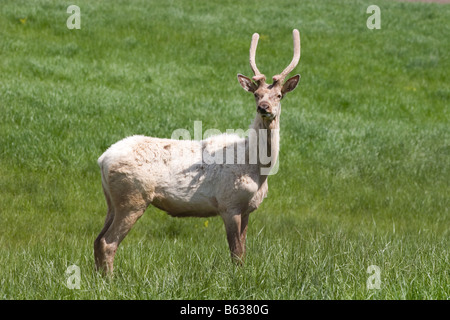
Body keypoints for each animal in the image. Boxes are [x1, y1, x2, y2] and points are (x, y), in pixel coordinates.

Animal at [93, 28, 300, 272]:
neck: (256, 167)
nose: (263, 108)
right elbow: (236, 253)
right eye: (256, 95)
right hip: (133, 197)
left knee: (97, 239)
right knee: (108, 242)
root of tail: (102, 159)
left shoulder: (247, 209)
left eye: (279, 95)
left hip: (112, 200)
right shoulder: (228, 203)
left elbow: (243, 254)